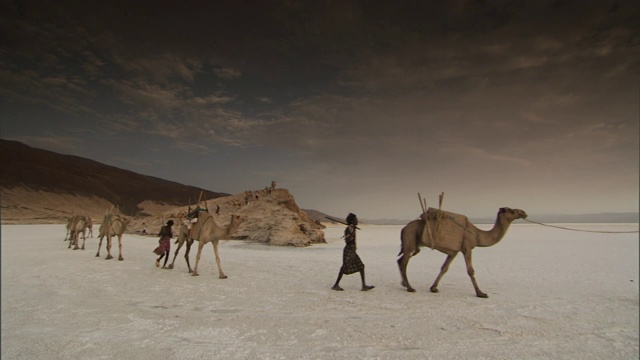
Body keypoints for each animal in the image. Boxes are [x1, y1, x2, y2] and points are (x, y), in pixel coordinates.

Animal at [398, 207, 528, 296]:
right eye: (511, 210)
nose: (523, 212)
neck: (477, 235)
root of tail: (403, 228)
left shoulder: (453, 252)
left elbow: (444, 268)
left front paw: (433, 288)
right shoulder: (467, 248)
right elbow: (470, 270)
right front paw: (481, 293)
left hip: (415, 246)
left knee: (401, 260)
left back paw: (404, 284)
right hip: (410, 240)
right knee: (404, 262)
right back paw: (410, 288)